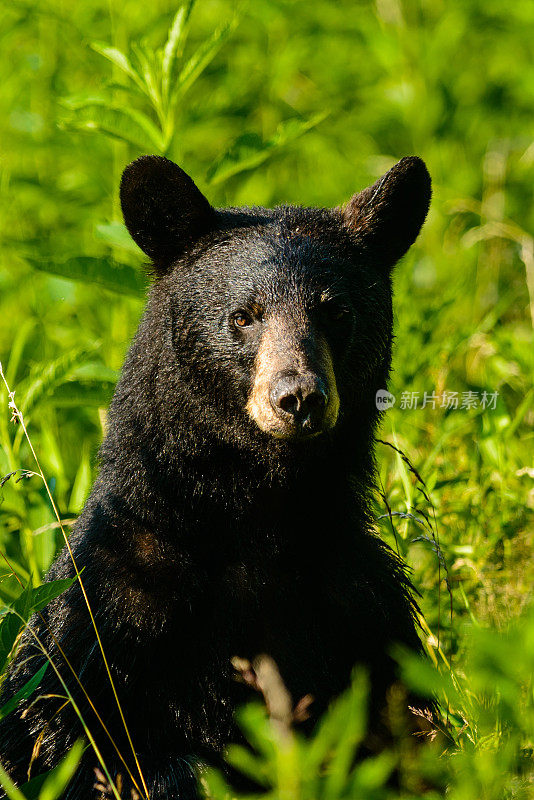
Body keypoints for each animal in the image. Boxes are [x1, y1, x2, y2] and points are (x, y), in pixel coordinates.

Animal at [0, 153, 434, 796]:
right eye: (244, 315)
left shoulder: (361, 610)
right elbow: (74, 744)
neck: (253, 523)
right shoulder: (105, 622)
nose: (299, 398)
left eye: (336, 311)